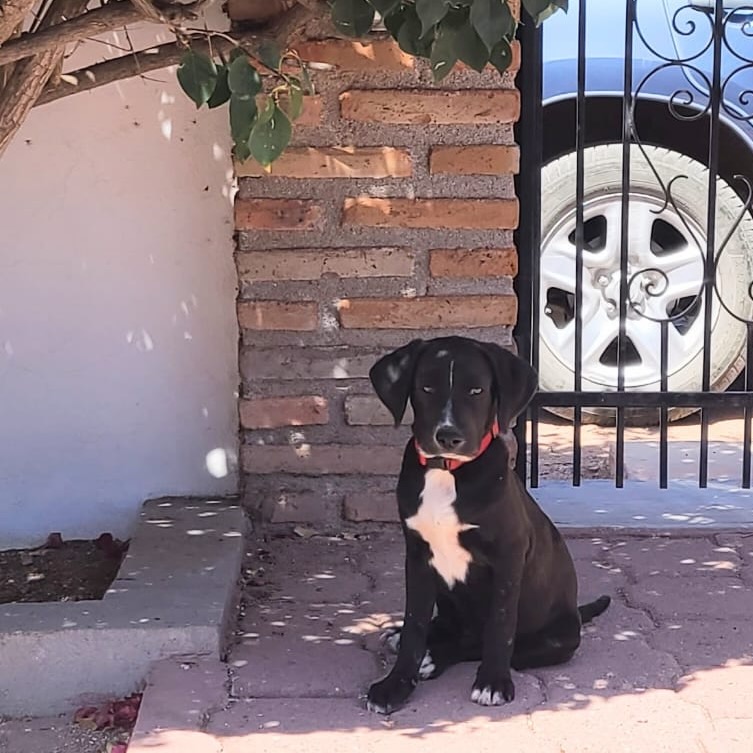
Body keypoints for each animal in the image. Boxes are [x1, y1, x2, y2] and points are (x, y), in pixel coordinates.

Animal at [365, 336, 610, 714]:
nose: (448, 436)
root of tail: (575, 613)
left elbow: (500, 625)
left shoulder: (508, 558)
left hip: (557, 640)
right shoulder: (417, 557)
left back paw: (436, 658)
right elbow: (415, 625)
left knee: (478, 642)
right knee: (447, 627)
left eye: (477, 390)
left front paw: (493, 682)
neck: (447, 471)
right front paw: (396, 684)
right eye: (426, 388)